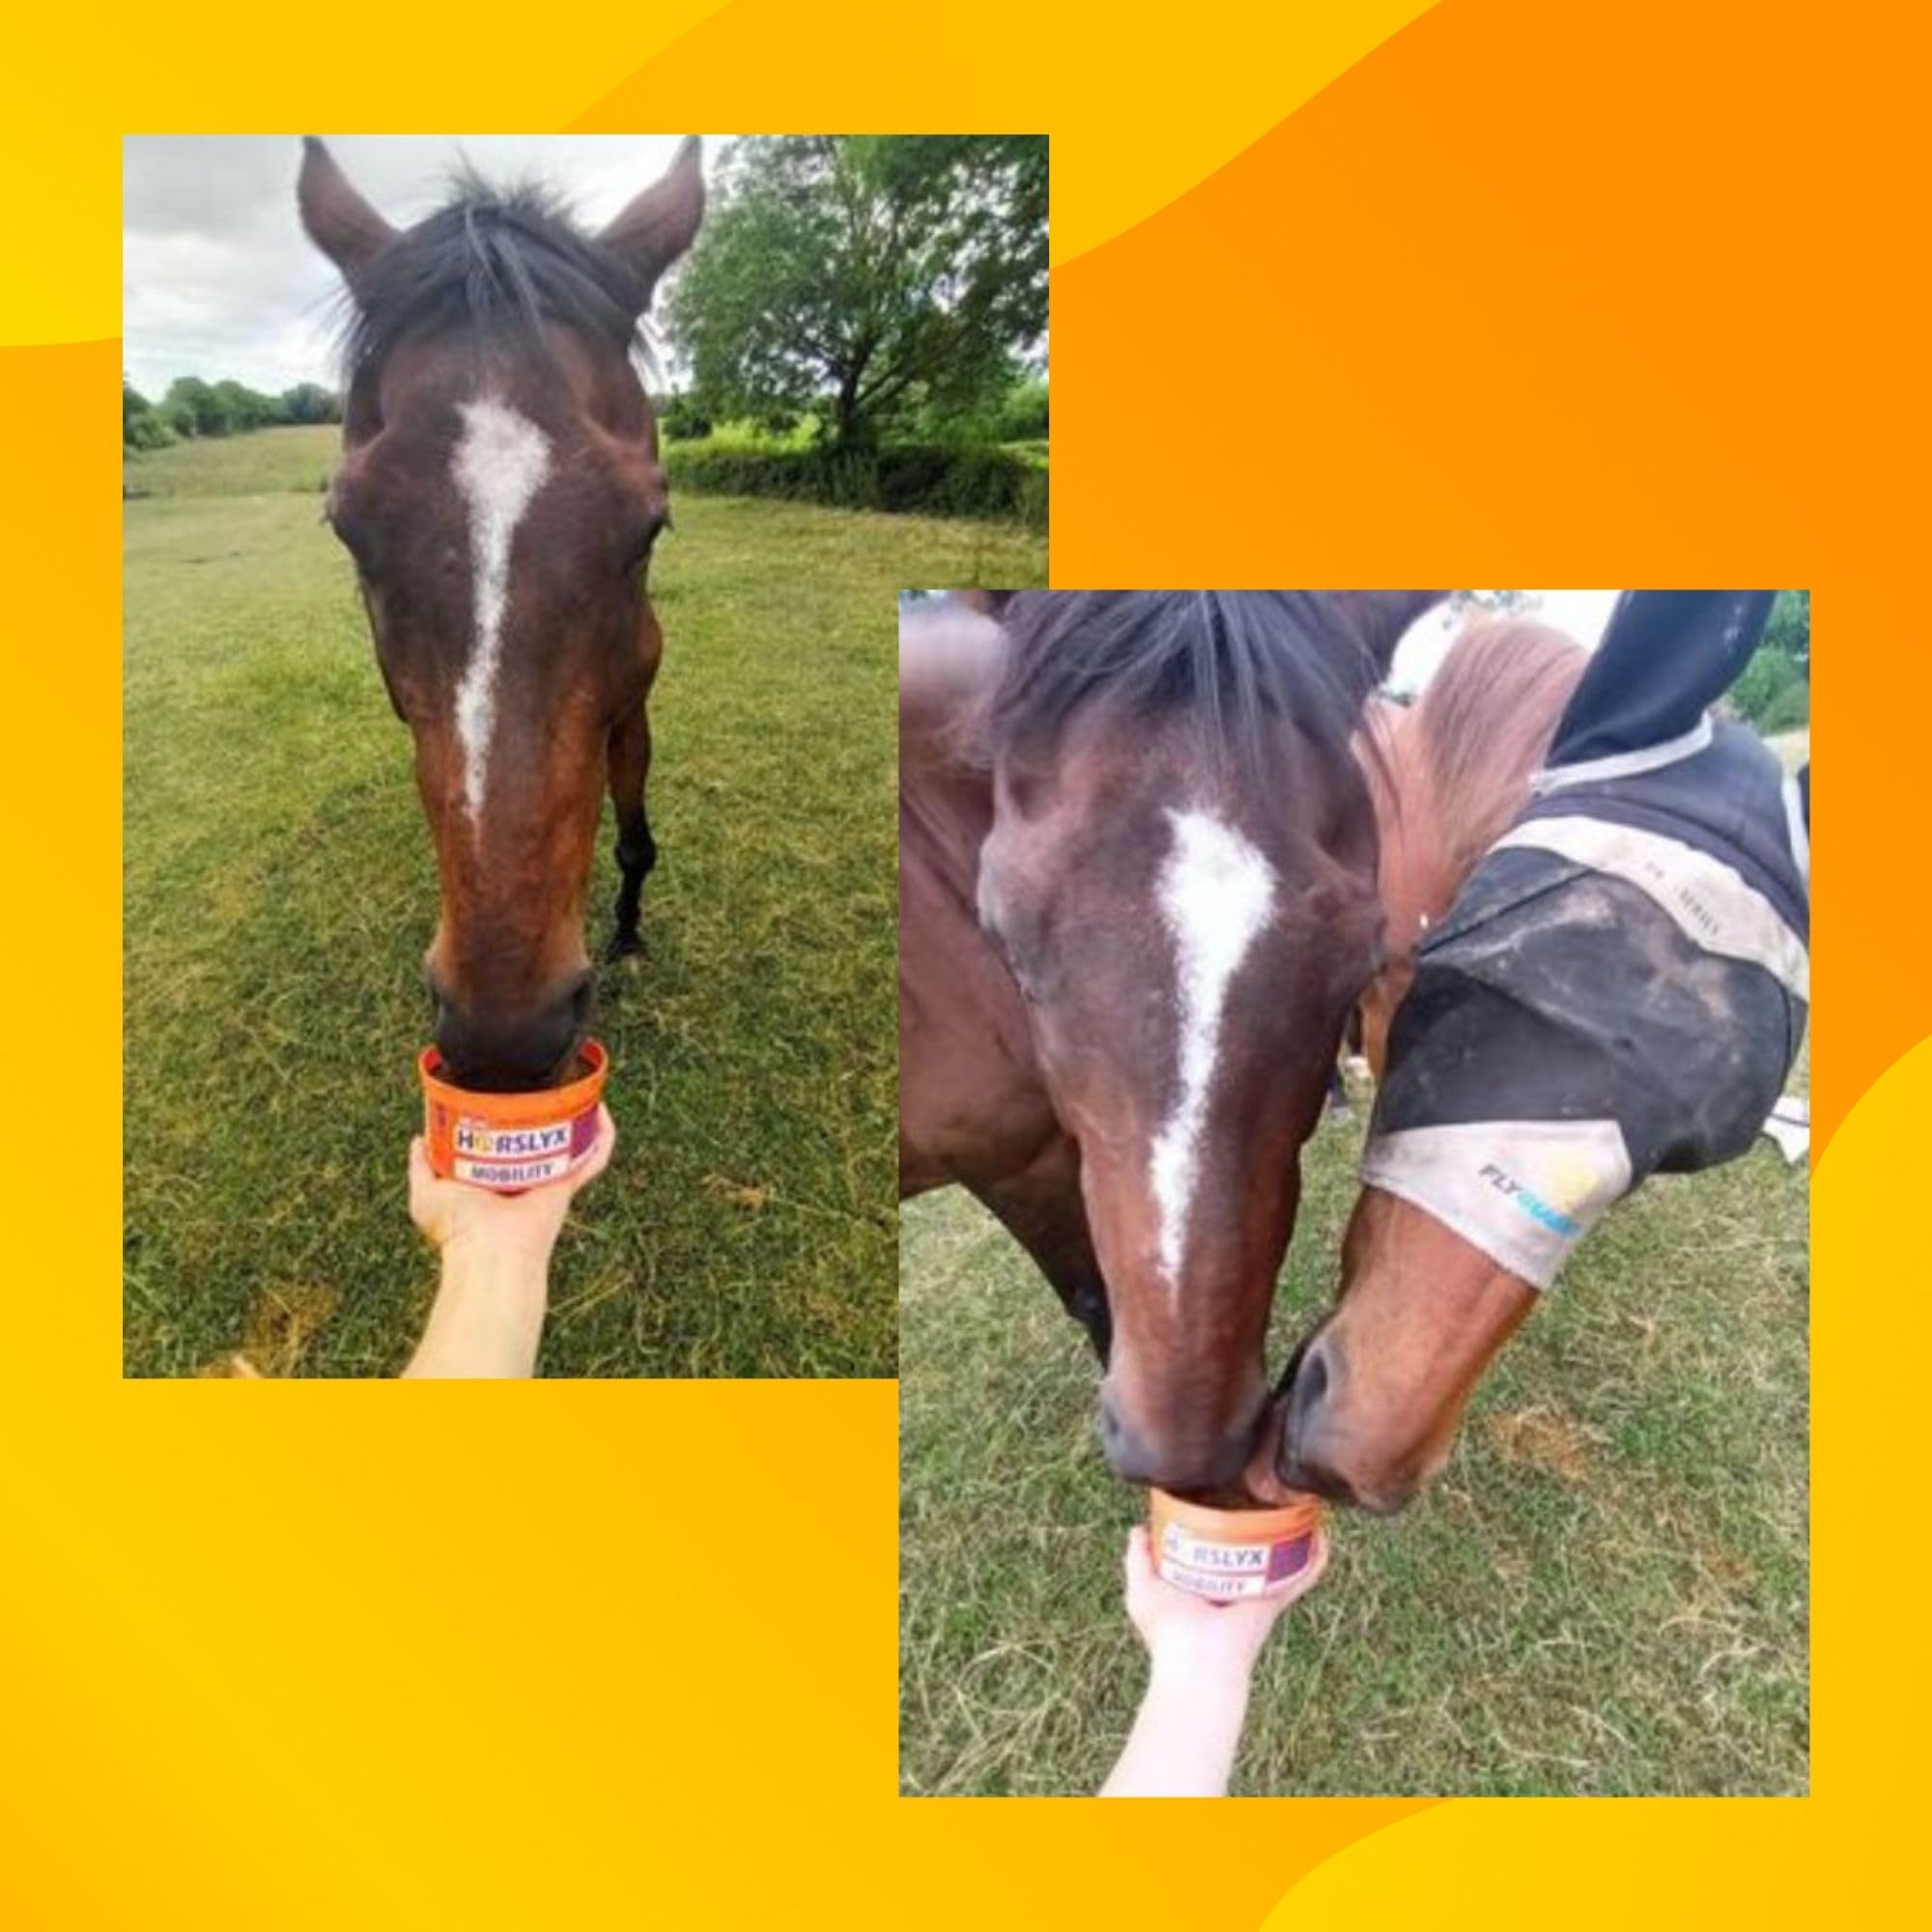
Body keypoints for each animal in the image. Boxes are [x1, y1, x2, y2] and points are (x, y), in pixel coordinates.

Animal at [298, 137, 705, 1090]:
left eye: (649, 525)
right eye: (348, 527)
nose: (505, 1037)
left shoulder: (631, 703)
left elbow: (631, 835)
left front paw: (628, 933)